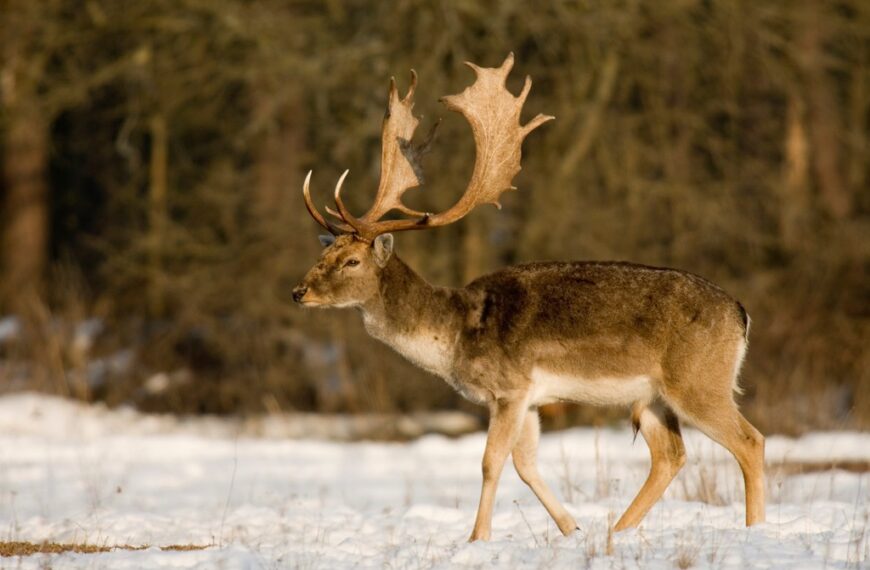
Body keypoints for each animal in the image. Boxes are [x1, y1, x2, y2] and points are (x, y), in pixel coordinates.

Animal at [294, 54, 768, 540]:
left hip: (699, 380)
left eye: (352, 260)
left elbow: (491, 462)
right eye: (323, 252)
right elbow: (524, 464)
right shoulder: (532, 399)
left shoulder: (510, 387)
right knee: (671, 454)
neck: (455, 336)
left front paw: (477, 538)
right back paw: (616, 531)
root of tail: (741, 314)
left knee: (750, 441)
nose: (298, 291)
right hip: (650, 396)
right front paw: (571, 528)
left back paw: (754, 528)